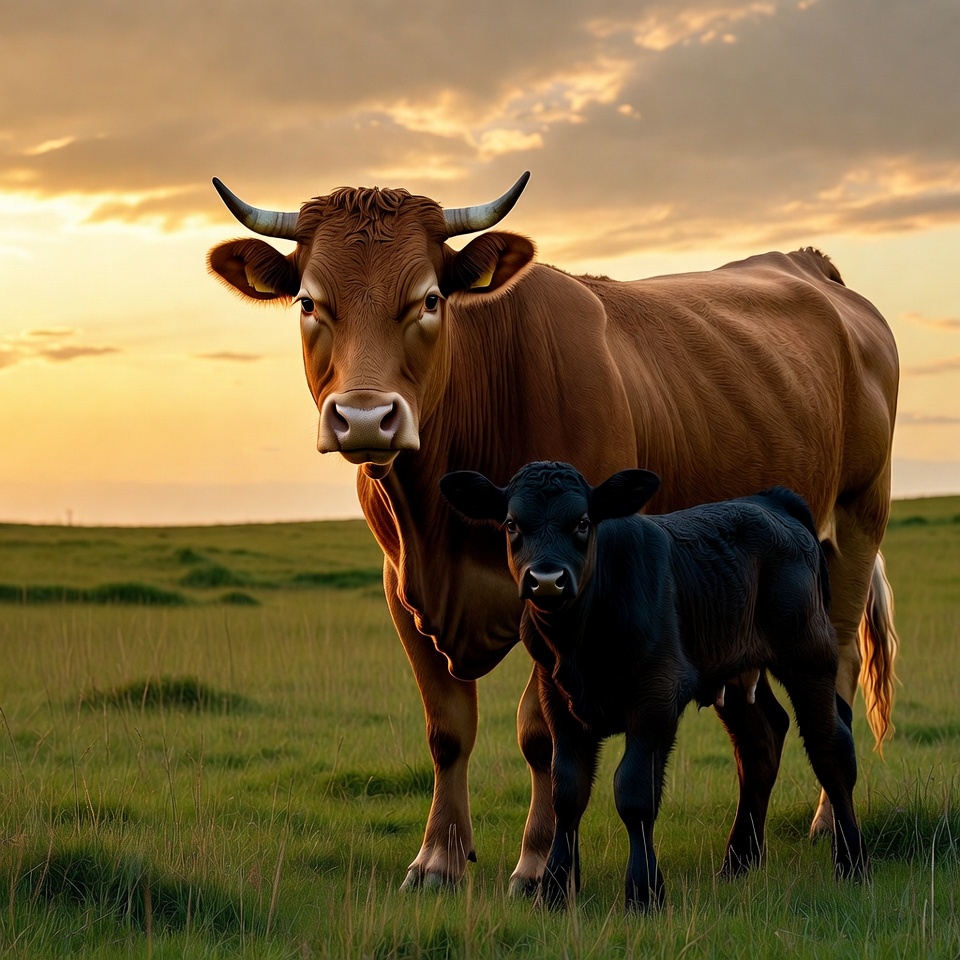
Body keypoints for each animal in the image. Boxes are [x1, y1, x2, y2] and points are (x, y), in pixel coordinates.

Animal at [440, 461, 868, 911]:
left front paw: (644, 891)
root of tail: (771, 500)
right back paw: (737, 863)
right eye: (511, 524)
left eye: (582, 522)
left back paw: (852, 864)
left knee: (831, 746)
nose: (546, 580)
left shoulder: (657, 696)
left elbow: (634, 792)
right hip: (734, 672)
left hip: (809, 653)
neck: (581, 640)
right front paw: (554, 888)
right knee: (761, 742)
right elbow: (567, 793)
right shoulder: (557, 700)